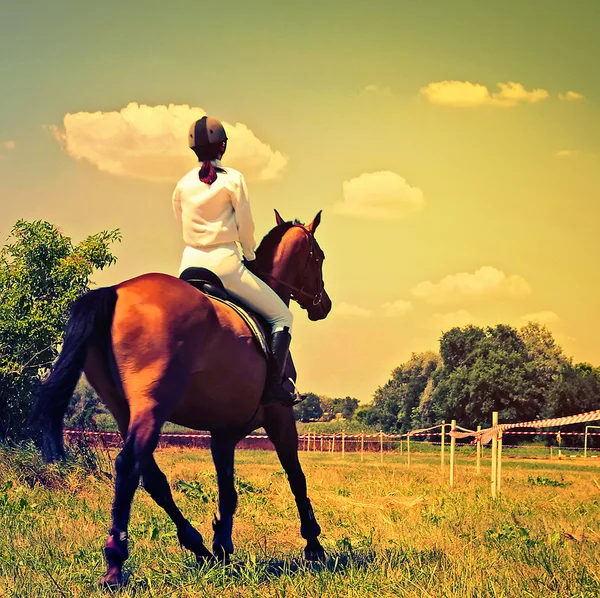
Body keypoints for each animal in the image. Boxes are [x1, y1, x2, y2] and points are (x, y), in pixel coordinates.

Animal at [32, 211, 332, 592]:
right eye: (318, 257)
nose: (324, 305)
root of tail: (115, 292)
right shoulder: (280, 417)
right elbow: (296, 477)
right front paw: (314, 545)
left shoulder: (223, 432)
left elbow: (228, 491)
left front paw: (223, 548)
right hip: (152, 406)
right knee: (129, 465)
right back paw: (115, 566)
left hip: (123, 409)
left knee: (152, 478)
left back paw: (198, 547)